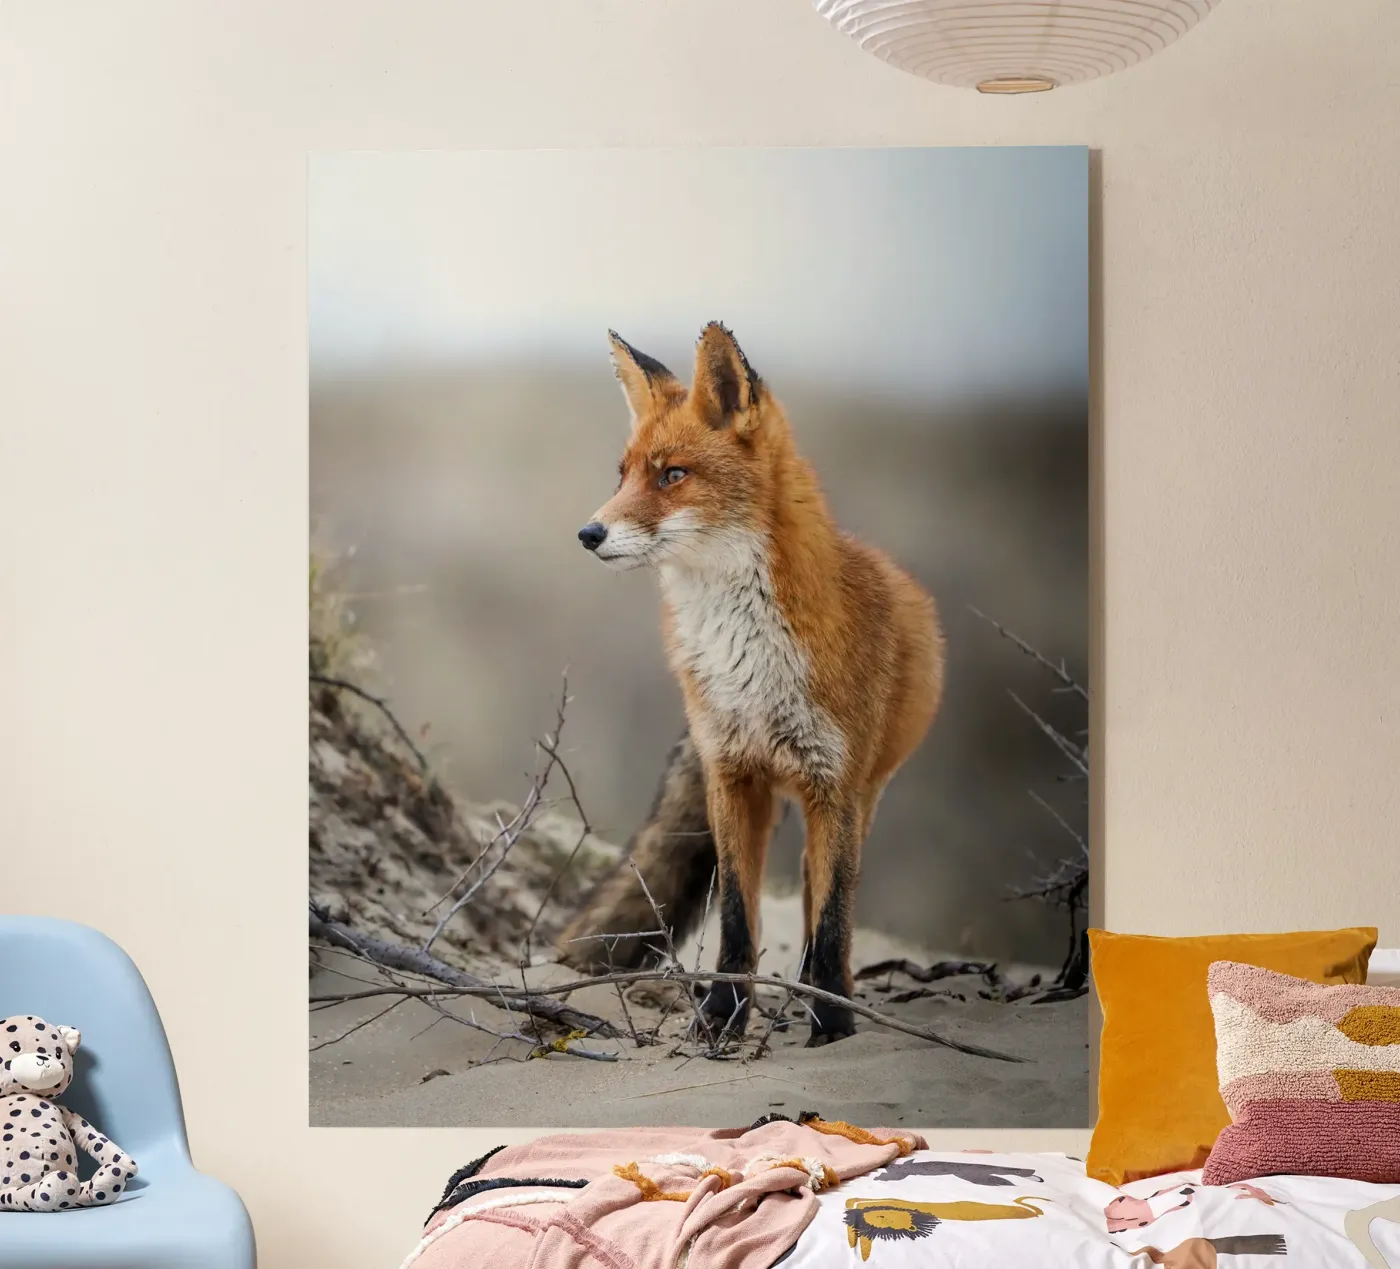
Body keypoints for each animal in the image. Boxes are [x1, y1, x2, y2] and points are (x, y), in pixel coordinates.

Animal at [561, 322, 944, 1046]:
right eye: (622, 475)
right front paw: (720, 1017)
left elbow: (832, 920)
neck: (748, 659)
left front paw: (832, 1024)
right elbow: (738, 917)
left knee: (823, 901)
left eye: (673, 475)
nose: (587, 532)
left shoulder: (835, 783)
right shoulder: (731, 772)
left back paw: (822, 993)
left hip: (860, 799)